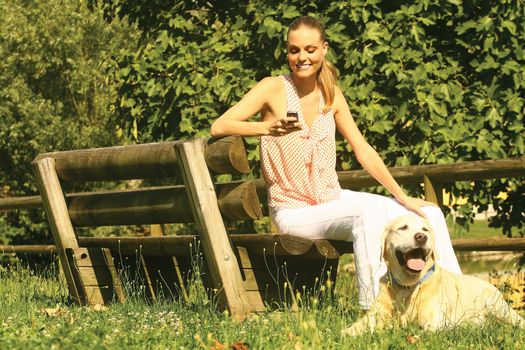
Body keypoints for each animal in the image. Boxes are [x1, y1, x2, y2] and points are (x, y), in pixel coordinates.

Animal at [342, 215, 520, 334]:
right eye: (403, 228)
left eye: (425, 229)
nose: (421, 237)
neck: (408, 286)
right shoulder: (372, 315)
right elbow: (354, 328)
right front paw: (346, 333)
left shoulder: (432, 322)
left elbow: (417, 328)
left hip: (498, 308)